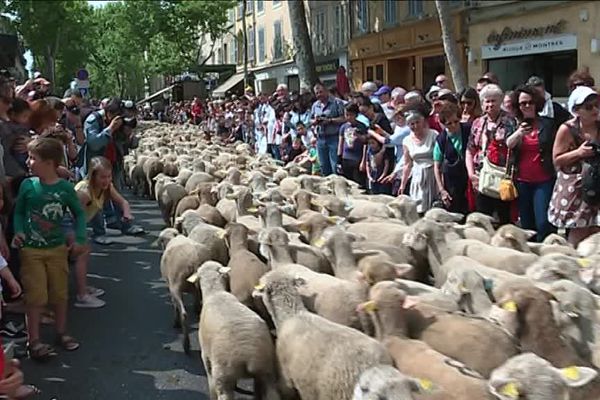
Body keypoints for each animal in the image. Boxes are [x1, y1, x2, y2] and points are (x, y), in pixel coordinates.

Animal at [188, 262, 282, 400]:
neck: (215, 292)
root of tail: (247, 354)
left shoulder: (205, 356)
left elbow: (210, 383)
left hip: (223, 374)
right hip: (266, 369)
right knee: (271, 393)